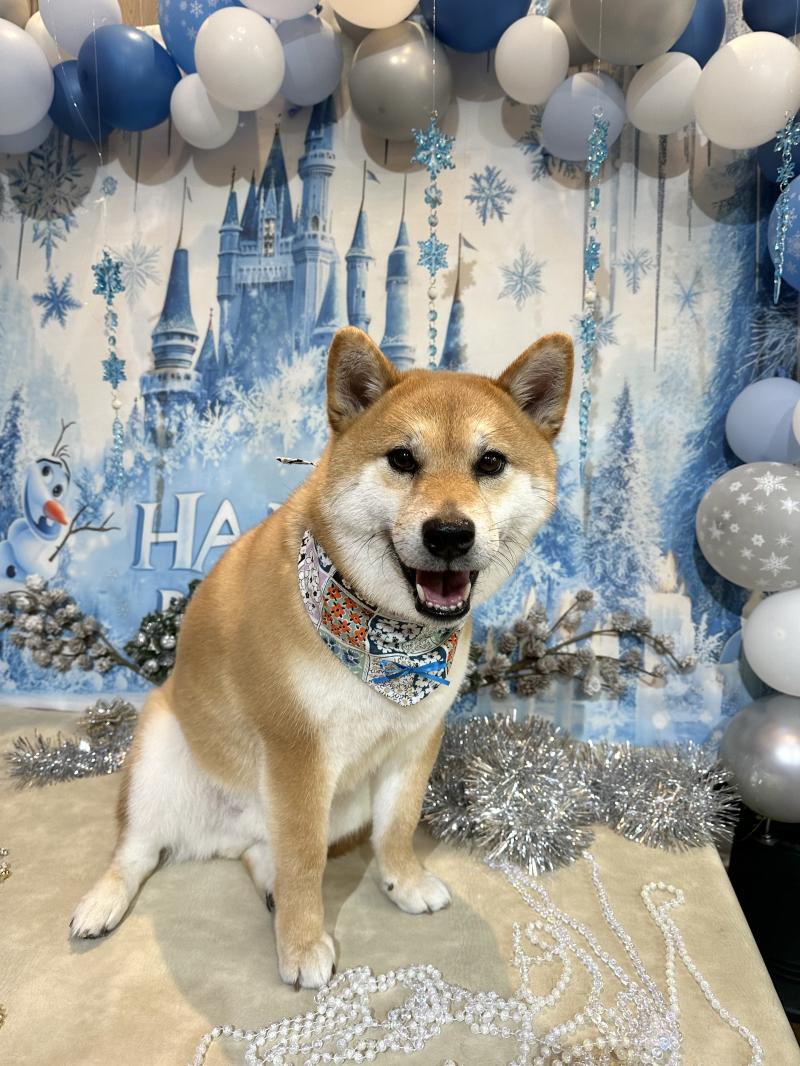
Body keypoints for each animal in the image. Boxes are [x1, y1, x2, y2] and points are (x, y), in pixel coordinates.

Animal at [70, 326, 573, 989]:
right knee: (137, 851)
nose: (449, 533)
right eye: (402, 459)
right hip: (158, 754)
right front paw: (303, 943)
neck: (385, 642)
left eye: (490, 462)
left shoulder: (415, 741)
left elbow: (397, 828)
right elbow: (305, 860)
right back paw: (104, 901)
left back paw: (269, 888)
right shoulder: (298, 754)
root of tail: (223, 830)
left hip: (336, 805)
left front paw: (401, 881)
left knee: (261, 852)